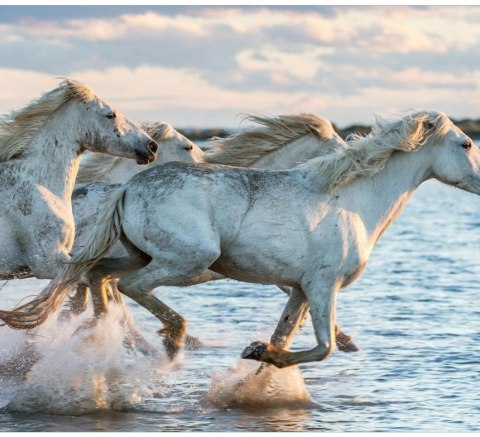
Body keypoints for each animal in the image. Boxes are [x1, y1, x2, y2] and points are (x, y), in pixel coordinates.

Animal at [1, 110, 476, 368]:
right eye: (467, 144)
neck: (352, 200)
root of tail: (128, 187)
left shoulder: (300, 288)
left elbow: (289, 333)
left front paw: (264, 354)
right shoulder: (322, 285)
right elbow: (322, 347)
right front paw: (260, 351)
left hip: (138, 256)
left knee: (97, 277)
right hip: (186, 259)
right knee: (126, 288)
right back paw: (170, 338)